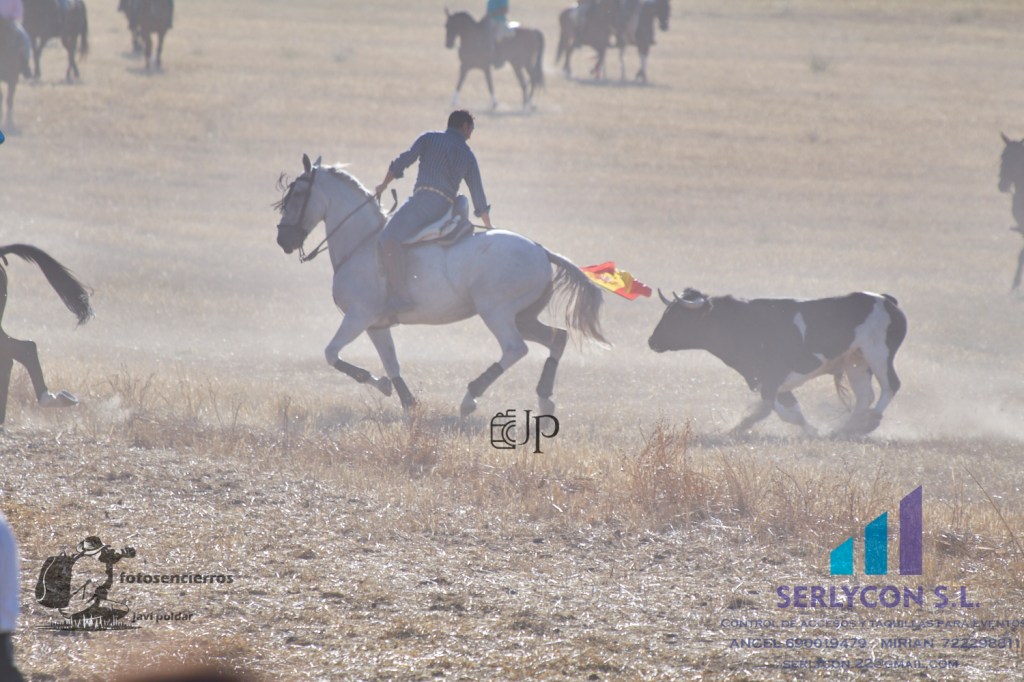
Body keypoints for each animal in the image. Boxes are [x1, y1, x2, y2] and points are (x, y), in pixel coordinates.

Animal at [274, 155, 607, 417]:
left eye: (298, 193)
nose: (283, 240)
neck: (362, 242)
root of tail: (540, 250)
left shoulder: (358, 316)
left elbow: (331, 354)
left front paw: (380, 385)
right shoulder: (376, 325)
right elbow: (392, 365)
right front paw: (406, 402)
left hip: (496, 313)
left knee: (515, 349)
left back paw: (470, 397)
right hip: (523, 317)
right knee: (557, 338)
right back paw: (544, 400)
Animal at [648, 288, 907, 437]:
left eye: (677, 316)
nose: (652, 341)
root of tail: (886, 300)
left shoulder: (773, 377)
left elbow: (777, 409)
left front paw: (810, 429)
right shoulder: (767, 380)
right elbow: (782, 406)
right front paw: (738, 427)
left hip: (878, 354)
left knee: (890, 385)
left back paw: (870, 422)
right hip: (856, 362)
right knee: (864, 396)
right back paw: (847, 428)